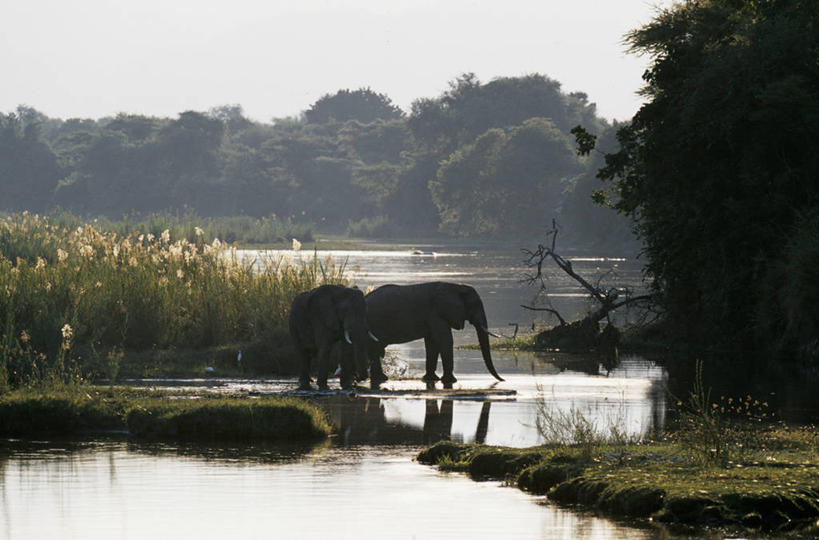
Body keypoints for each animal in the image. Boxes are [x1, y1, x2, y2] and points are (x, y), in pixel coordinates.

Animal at [366, 282, 506, 384]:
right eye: (474, 305)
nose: (503, 380)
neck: (456, 287)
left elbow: (432, 343)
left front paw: (431, 379)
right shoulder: (437, 314)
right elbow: (445, 340)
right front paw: (451, 381)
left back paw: (379, 378)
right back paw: (381, 378)